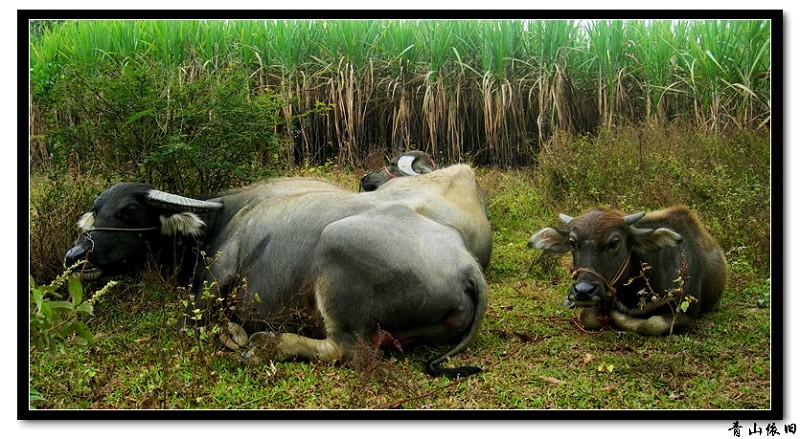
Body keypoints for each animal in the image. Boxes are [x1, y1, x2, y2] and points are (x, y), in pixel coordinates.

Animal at [67, 165, 494, 378]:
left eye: (128, 211)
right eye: (97, 208)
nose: (76, 254)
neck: (217, 222)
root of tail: (465, 266)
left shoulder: (213, 281)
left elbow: (191, 323)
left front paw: (235, 334)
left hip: (337, 260)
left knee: (344, 351)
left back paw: (263, 345)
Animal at [528, 206, 728, 336]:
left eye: (614, 242)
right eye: (572, 243)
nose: (583, 291)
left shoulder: (687, 313)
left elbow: (648, 325)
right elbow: (587, 316)